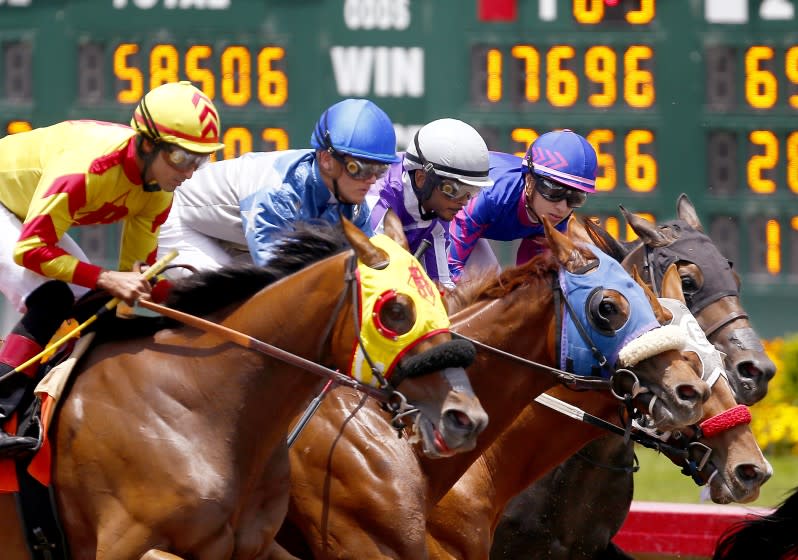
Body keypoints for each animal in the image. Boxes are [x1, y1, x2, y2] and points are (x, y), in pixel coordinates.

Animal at [0, 219, 490, 560]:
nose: (465, 417)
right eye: (396, 311)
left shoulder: (256, 546)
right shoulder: (122, 547)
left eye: (440, 301)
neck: (204, 407)